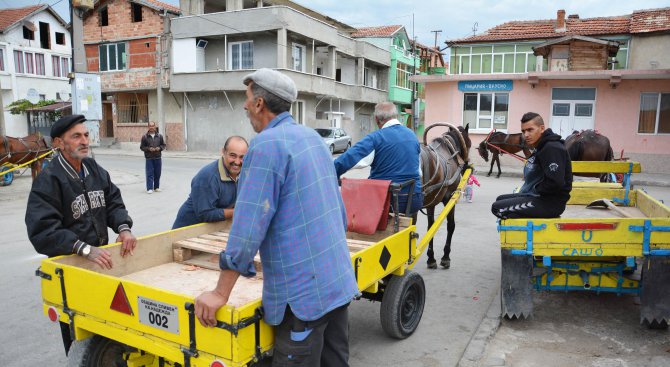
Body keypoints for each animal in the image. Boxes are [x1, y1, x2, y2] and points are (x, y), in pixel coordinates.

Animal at [420, 122, 472, 268]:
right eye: (469, 144)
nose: (467, 165)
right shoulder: (450, 199)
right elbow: (451, 225)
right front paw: (446, 257)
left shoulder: (430, 203)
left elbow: (430, 227)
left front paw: (431, 258)